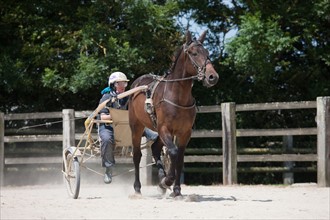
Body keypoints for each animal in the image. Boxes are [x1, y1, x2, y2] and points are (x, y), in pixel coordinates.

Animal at [129, 30, 219, 197]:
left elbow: (180, 158)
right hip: (136, 127)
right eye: (194, 53)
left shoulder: (184, 132)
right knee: (137, 155)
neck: (177, 96)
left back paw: (161, 180)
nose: (212, 77)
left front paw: (175, 189)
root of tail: (137, 83)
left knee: (155, 149)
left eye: (208, 53)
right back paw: (138, 187)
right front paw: (168, 180)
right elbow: (173, 152)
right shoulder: (165, 128)